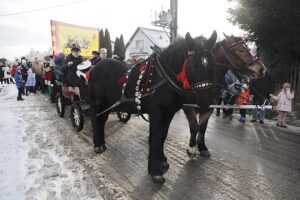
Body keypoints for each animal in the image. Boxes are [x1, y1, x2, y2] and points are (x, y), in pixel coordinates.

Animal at [88, 31, 217, 183]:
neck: (162, 78)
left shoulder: (169, 113)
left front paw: (162, 161)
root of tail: (95, 67)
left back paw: (102, 143)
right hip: (97, 103)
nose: (205, 102)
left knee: (101, 121)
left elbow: (162, 136)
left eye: (213, 63)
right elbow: (155, 139)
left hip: (108, 104)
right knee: (95, 120)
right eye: (192, 65)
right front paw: (155, 171)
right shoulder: (157, 113)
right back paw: (98, 145)